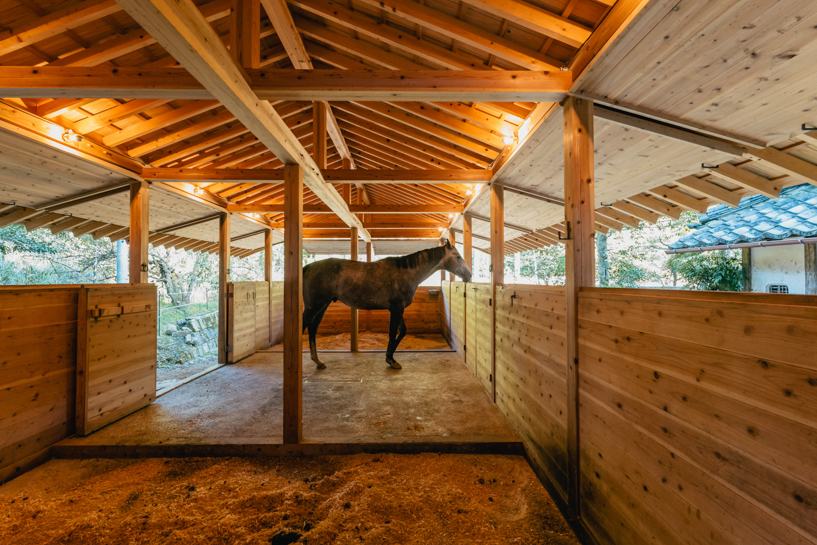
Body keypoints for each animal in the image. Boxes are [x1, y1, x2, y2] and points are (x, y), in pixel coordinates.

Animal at [302, 240, 472, 370]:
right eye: (458, 256)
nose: (469, 275)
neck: (407, 272)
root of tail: (308, 267)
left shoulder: (398, 309)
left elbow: (402, 331)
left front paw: (390, 357)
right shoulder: (396, 308)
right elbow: (392, 332)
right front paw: (391, 360)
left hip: (322, 306)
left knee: (312, 329)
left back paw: (318, 361)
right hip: (314, 307)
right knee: (304, 325)